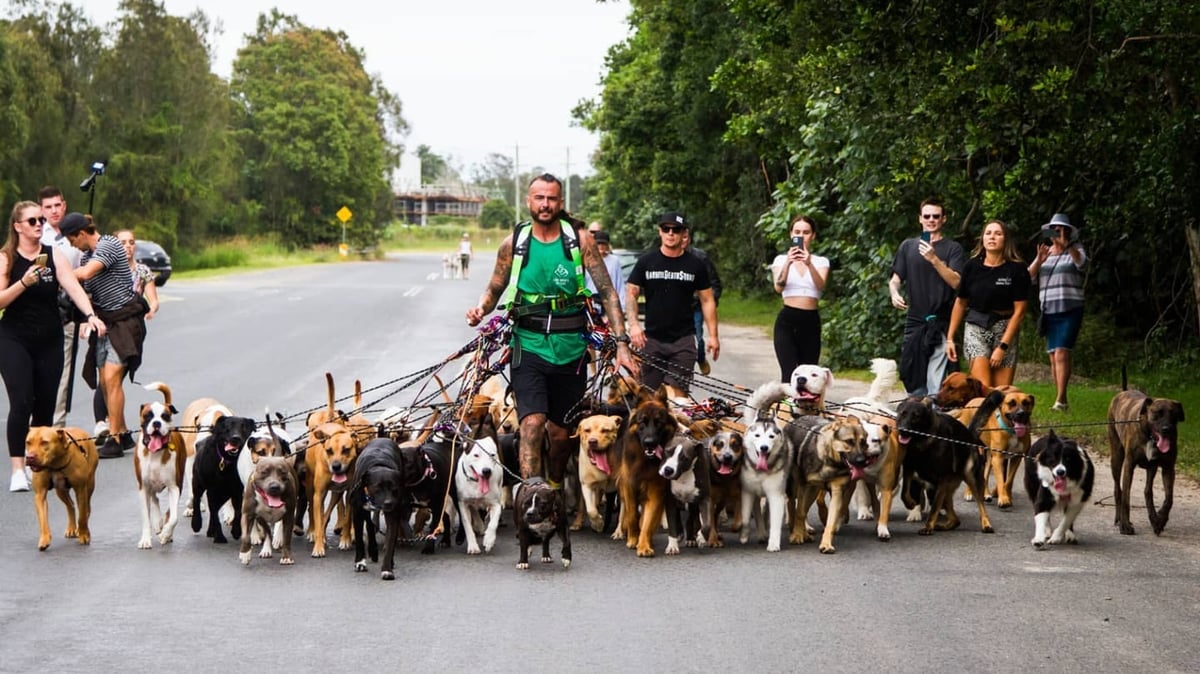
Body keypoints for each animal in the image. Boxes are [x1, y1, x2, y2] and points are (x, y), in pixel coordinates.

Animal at [135, 381, 188, 549]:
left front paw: (166, 534)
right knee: (154, 498)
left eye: (164, 416)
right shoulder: (143, 488)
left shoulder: (174, 487)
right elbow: (145, 517)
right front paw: (146, 539)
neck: (156, 453)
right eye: (148, 415)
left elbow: (173, 517)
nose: (157, 423)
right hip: (148, 484)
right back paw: (157, 521)